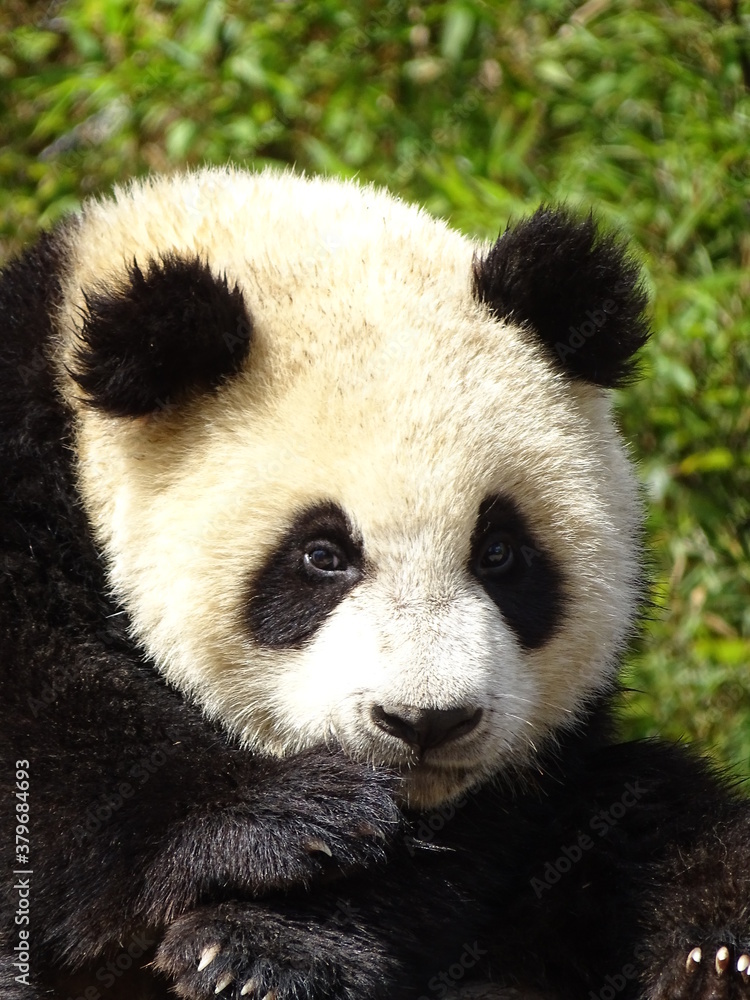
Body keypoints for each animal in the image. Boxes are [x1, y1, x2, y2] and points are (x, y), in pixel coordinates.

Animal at [1, 166, 749, 1000]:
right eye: (323, 555)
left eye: (498, 552)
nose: (427, 722)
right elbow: (47, 727)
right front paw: (287, 820)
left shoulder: (535, 767)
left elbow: (467, 855)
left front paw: (258, 952)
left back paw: (713, 959)